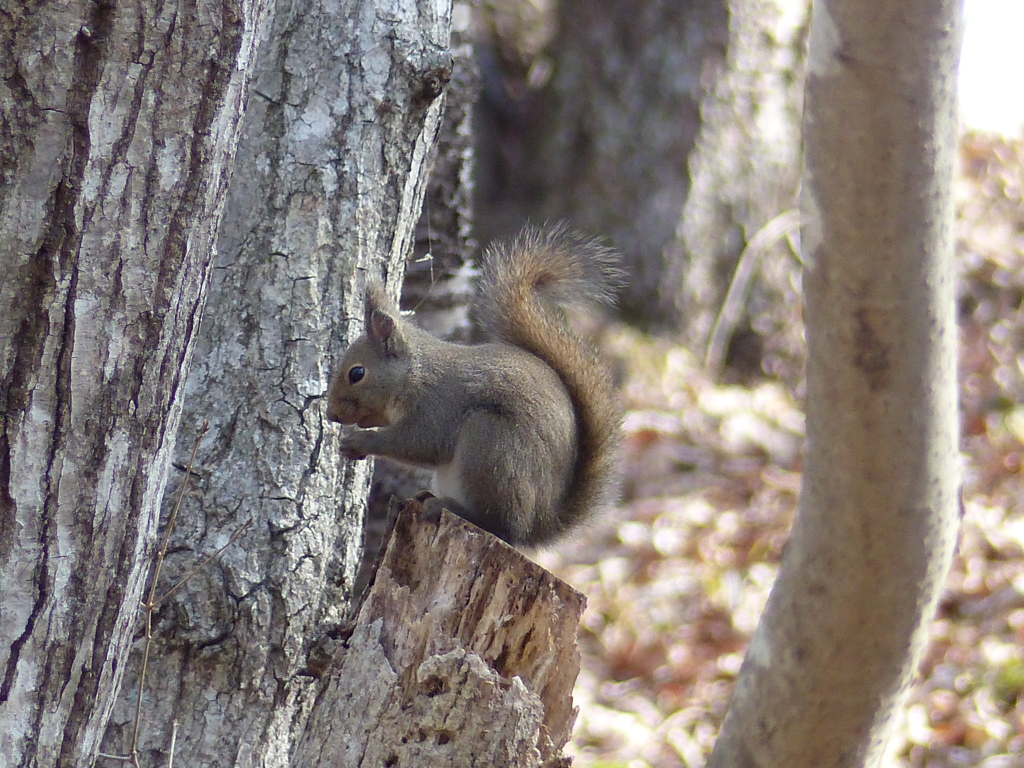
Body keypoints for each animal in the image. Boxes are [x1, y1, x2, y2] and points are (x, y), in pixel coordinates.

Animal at [325, 222, 622, 548]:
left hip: (490, 444)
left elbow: (419, 444)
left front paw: (359, 442)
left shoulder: (438, 407)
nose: (331, 415)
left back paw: (451, 507)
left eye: (357, 373)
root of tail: (537, 526)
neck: (415, 375)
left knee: (499, 525)